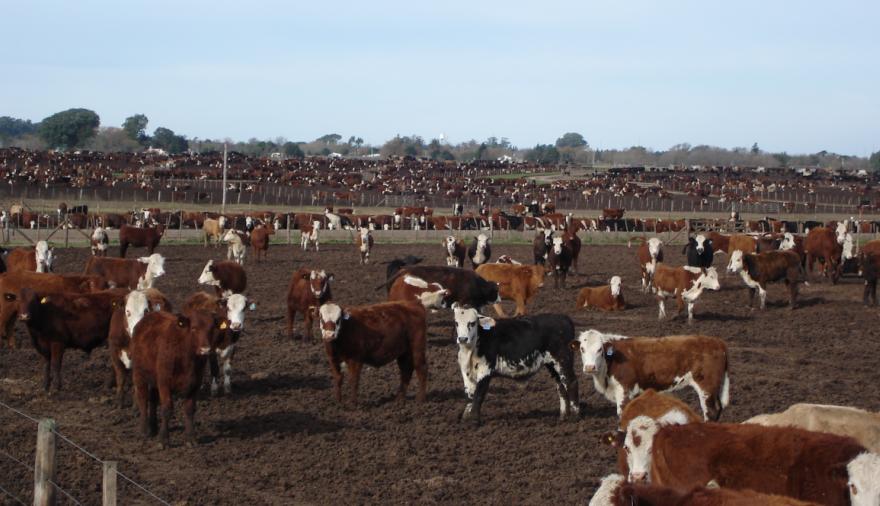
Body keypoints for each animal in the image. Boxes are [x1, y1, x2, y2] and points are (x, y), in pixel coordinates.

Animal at [130, 310, 219, 448]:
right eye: (194, 328)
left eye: (211, 329)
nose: (205, 350)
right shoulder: (164, 383)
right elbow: (167, 409)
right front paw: (163, 440)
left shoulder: (195, 384)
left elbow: (189, 409)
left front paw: (190, 438)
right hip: (139, 373)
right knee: (143, 399)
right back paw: (144, 430)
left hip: (155, 379)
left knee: (153, 400)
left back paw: (153, 427)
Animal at [572, 330, 730, 421]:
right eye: (582, 349)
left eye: (600, 349)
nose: (590, 367)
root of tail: (718, 341)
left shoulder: (624, 390)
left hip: (706, 386)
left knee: (710, 411)